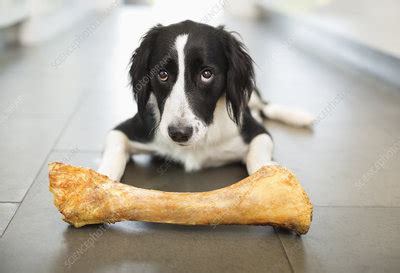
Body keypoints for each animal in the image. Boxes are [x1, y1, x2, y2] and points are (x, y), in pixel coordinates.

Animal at [98, 19, 314, 181]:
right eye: (162, 74)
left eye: (206, 74)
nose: (179, 134)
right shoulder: (126, 129)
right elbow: (113, 153)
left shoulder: (258, 133)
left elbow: (258, 158)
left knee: (266, 106)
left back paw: (298, 116)